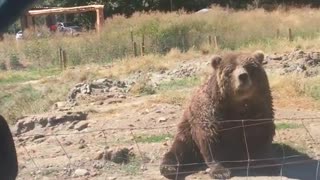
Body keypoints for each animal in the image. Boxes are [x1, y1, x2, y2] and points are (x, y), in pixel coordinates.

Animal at [159, 50, 276, 179]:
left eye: (250, 67)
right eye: (230, 69)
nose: (243, 76)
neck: (238, 103)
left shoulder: (259, 107)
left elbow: (261, 131)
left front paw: (266, 161)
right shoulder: (211, 111)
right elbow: (211, 138)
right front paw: (220, 171)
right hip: (187, 130)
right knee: (180, 149)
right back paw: (169, 168)